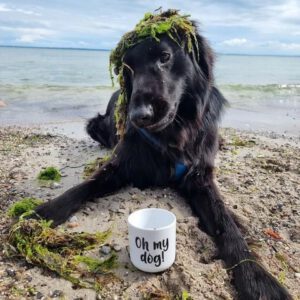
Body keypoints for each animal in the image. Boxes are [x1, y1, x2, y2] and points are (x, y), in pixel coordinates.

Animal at [34, 28, 292, 300]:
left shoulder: (200, 175)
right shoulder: (119, 165)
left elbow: (226, 225)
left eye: (165, 56)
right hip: (94, 125)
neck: (172, 135)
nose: (139, 116)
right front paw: (42, 212)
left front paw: (258, 280)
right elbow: (84, 186)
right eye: (127, 68)